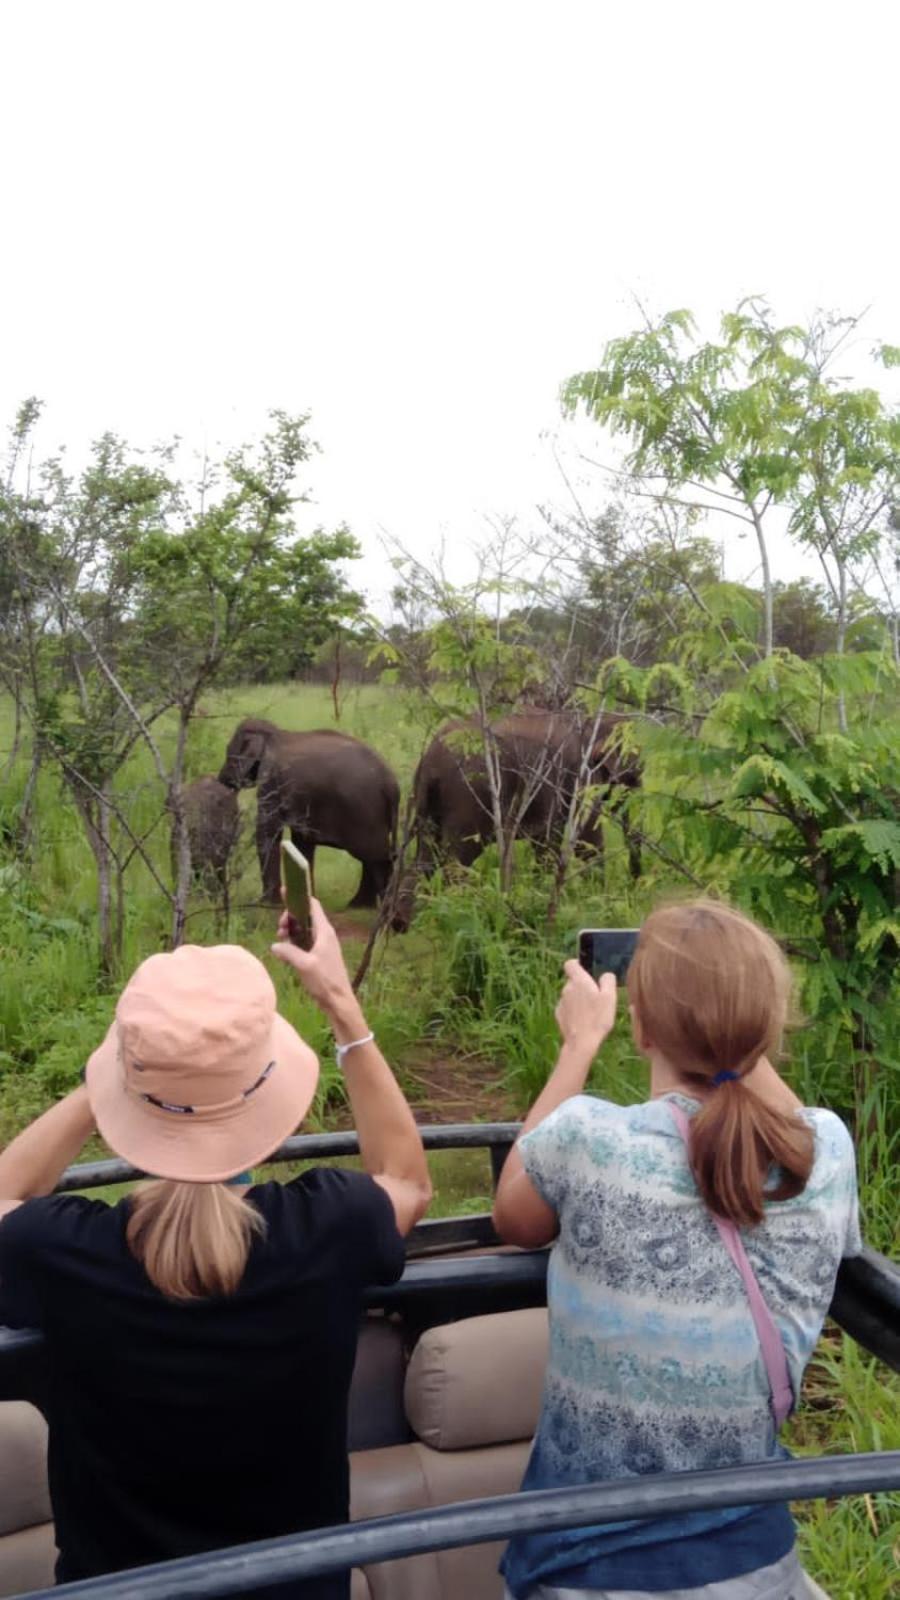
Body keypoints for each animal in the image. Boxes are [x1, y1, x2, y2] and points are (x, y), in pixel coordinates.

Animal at [216, 720, 397, 908]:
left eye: (229, 752)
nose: (221, 780)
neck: (275, 733)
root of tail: (391, 785)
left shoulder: (272, 781)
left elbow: (267, 831)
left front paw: (268, 904)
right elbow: (302, 841)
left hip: (364, 812)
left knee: (377, 857)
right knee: (372, 856)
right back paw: (359, 905)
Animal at [395, 707, 640, 921]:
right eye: (634, 771)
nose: (634, 883)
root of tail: (430, 759)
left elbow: (548, 843)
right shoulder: (579, 776)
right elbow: (585, 839)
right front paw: (599, 900)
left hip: (427, 801)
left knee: (425, 858)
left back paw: (404, 923)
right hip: (469, 795)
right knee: (458, 860)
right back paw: (457, 912)